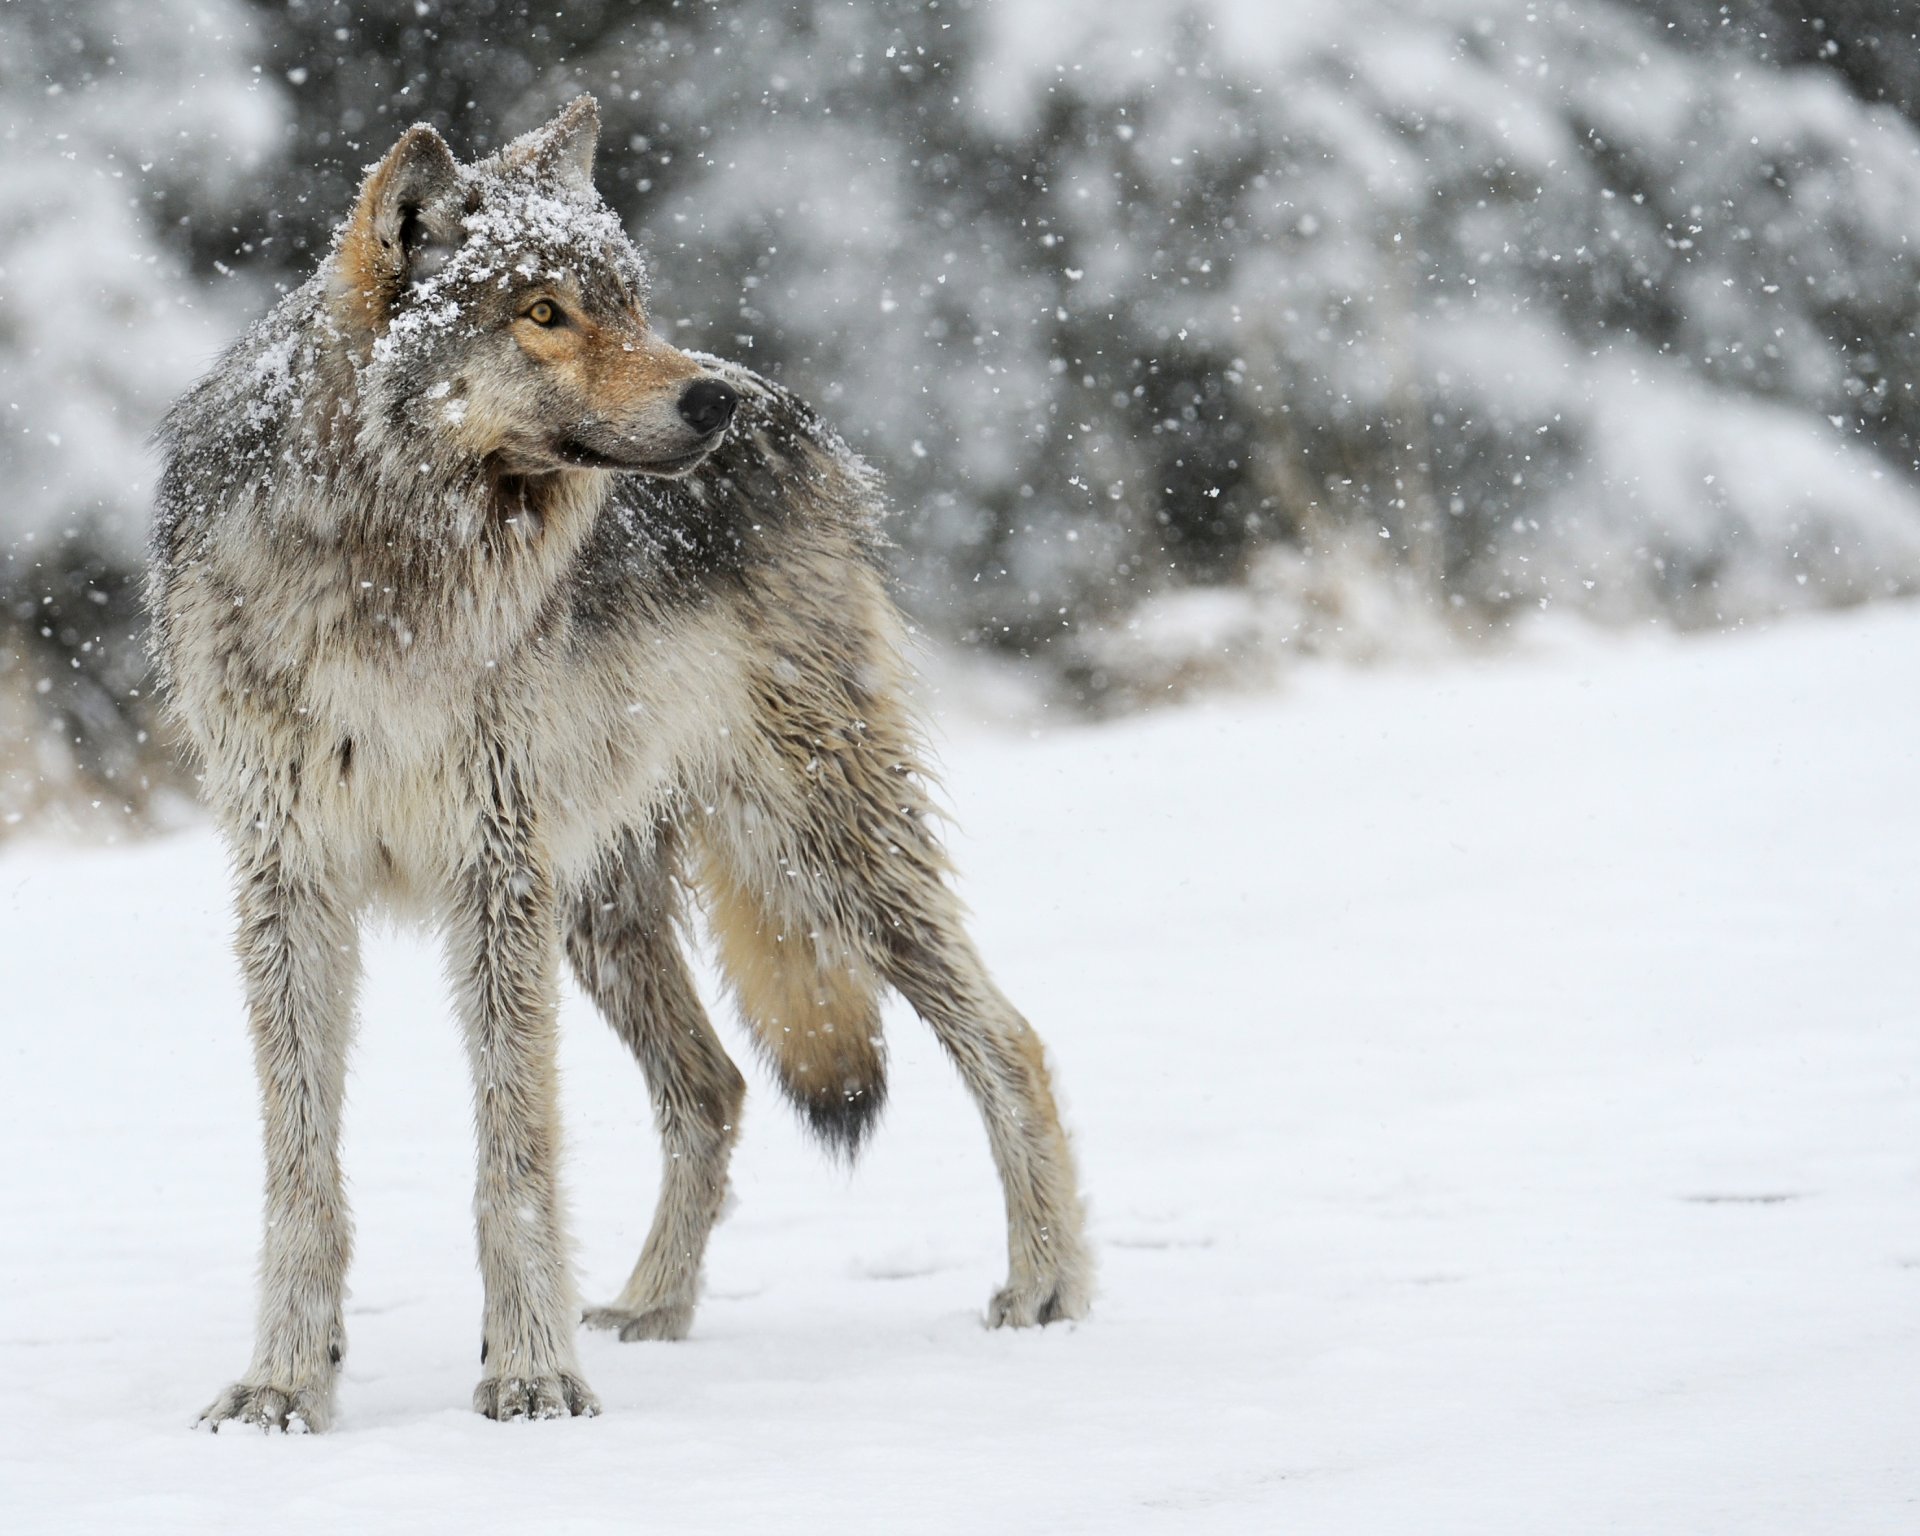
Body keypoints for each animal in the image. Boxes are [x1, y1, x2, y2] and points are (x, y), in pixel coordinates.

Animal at [148, 97, 1090, 1431]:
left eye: (630, 304)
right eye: (544, 312)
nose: (709, 404)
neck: (387, 577)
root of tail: (796, 413)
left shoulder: (492, 874)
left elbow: (516, 1155)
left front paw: (531, 1375)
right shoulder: (292, 886)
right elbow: (301, 1170)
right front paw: (284, 1385)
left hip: (817, 846)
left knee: (1010, 1040)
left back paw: (1048, 1288)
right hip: (603, 905)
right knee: (714, 1087)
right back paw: (653, 1309)